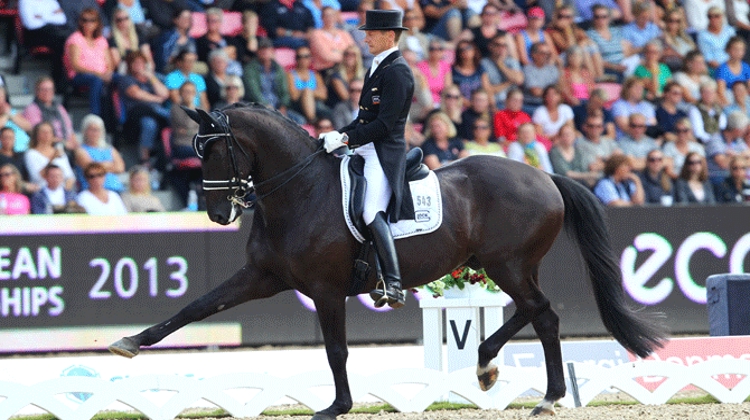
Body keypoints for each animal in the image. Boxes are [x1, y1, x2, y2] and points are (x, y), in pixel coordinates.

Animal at [108, 103, 668, 418]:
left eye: (214, 150)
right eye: (195, 151)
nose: (217, 213)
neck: (298, 192)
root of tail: (544, 176)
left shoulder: (326, 289)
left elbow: (336, 350)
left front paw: (336, 407)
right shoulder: (261, 277)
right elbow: (195, 308)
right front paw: (129, 343)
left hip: (507, 264)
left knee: (542, 312)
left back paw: (538, 391)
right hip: (507, 265)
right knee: (538, 312)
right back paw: (493, 368)